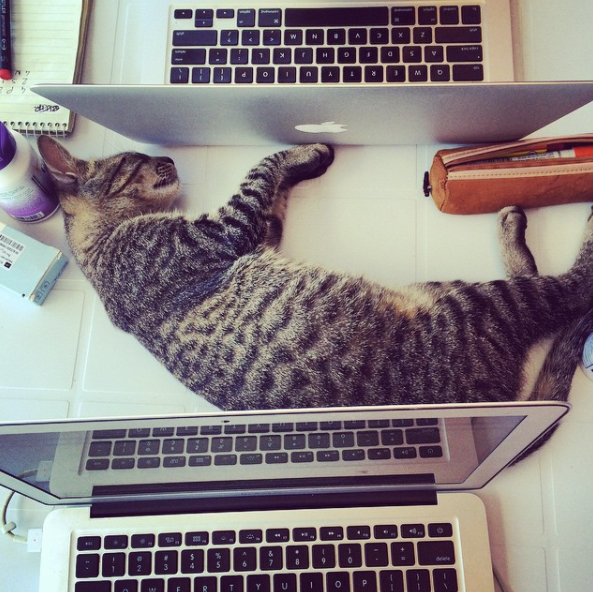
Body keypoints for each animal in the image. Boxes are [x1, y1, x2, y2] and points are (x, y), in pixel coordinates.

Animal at [37, 136, 592, 430]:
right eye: (135, 161)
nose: (170, 160)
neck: (98, 247)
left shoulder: (262, 234)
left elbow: (274, 193)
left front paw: (306, 161)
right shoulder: (225, 230)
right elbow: (260, 171)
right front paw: (303, 152)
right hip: (477, 303)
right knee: (570, 288)